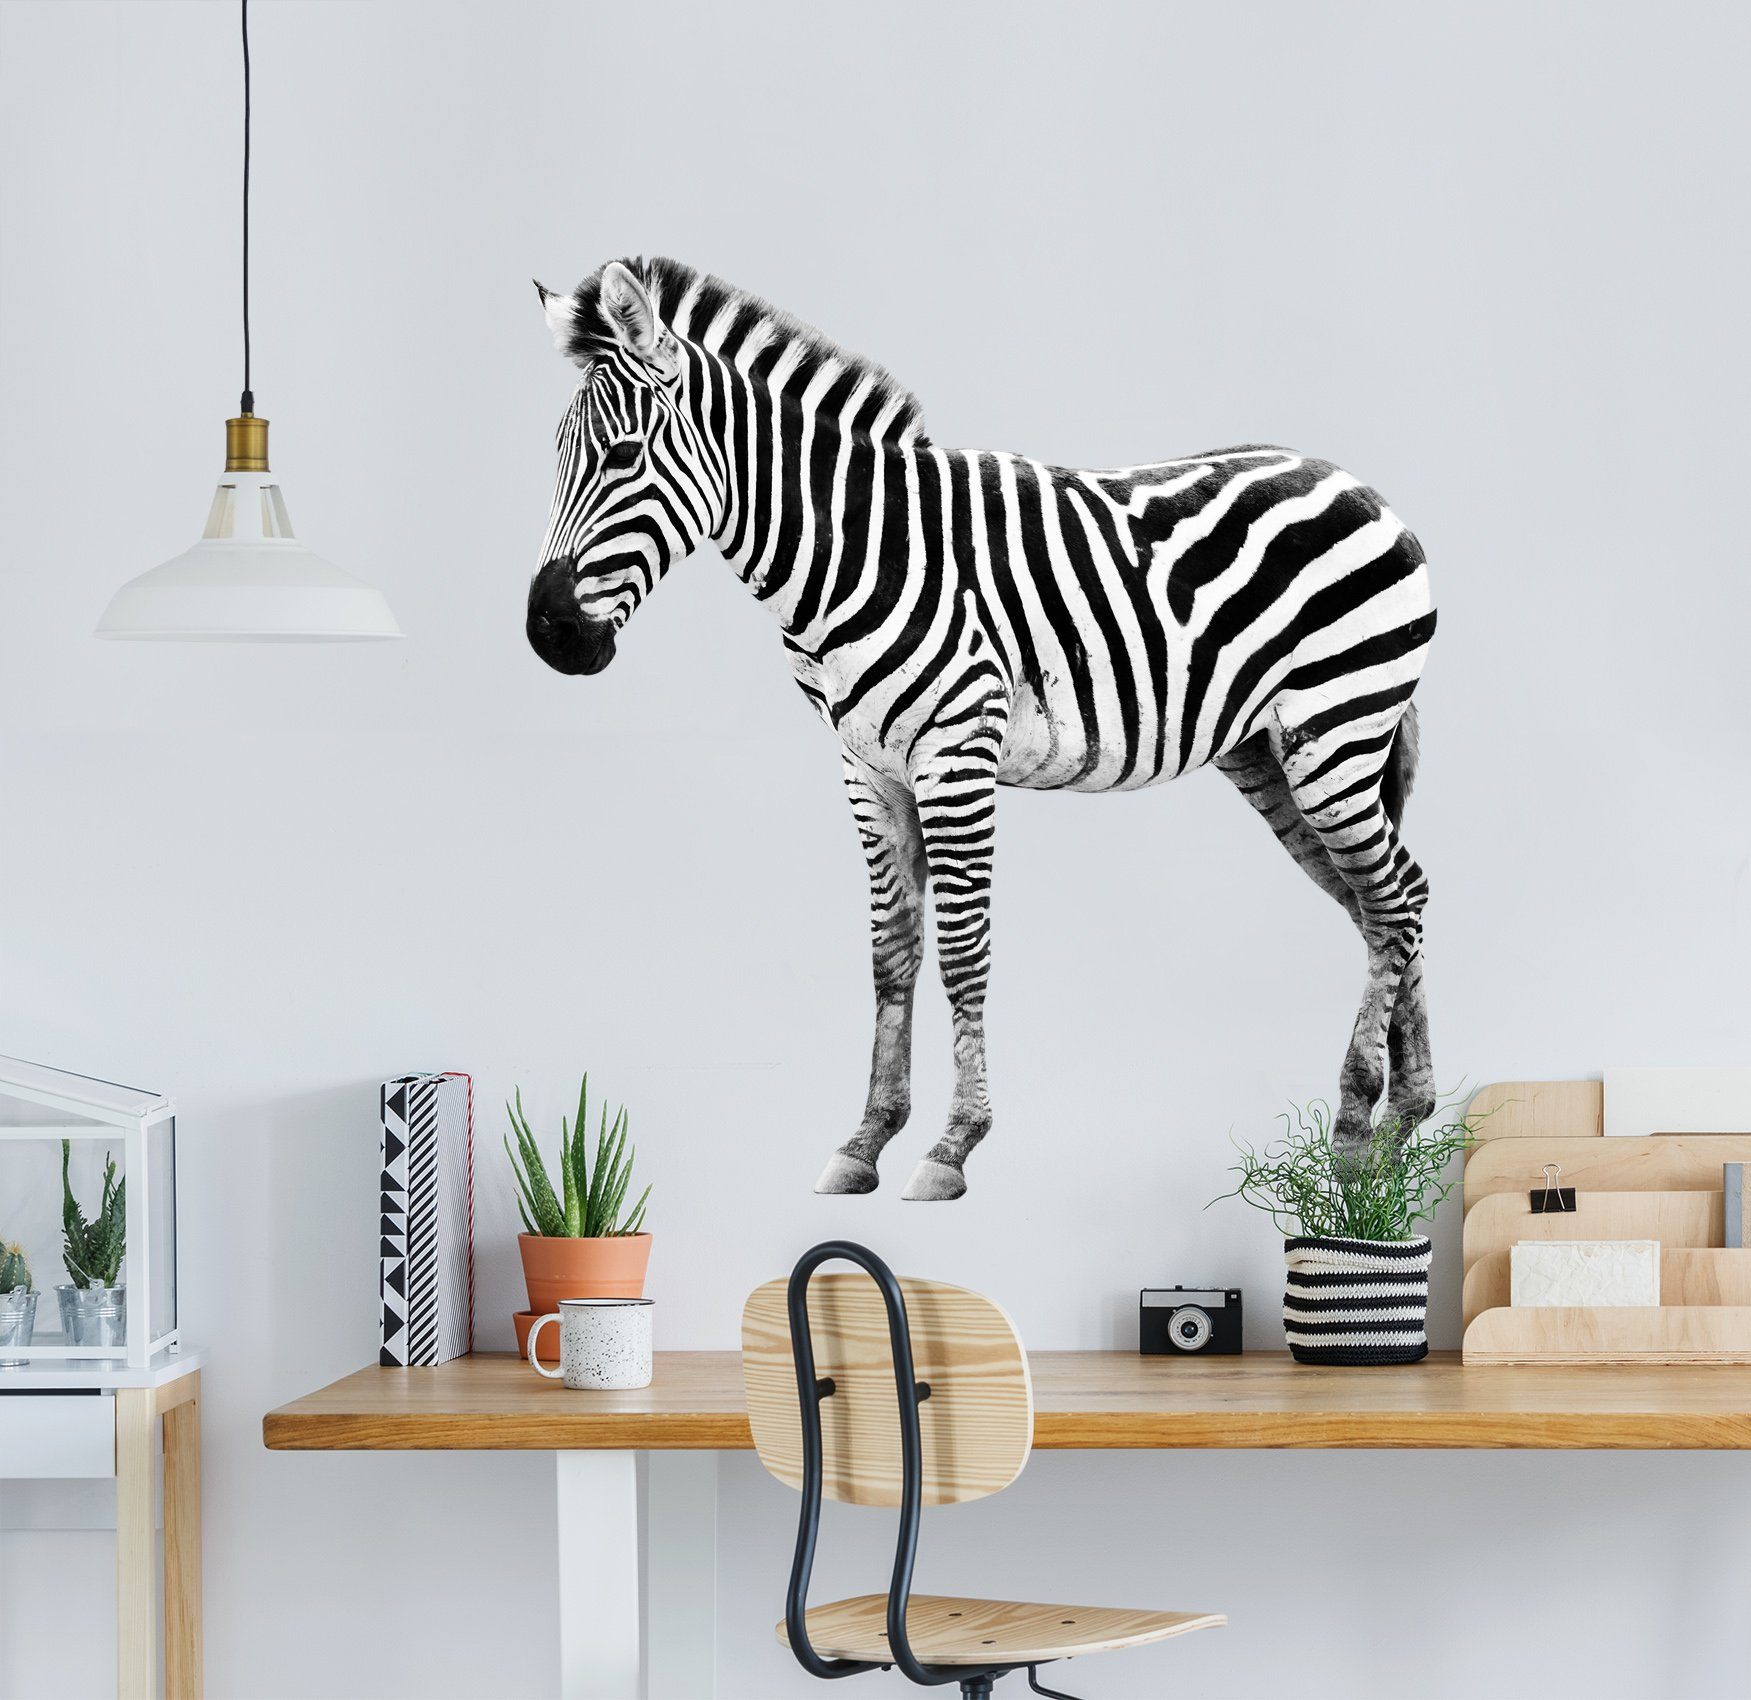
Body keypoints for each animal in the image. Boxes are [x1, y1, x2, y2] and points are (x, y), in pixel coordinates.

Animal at [528, 256, 1435, 1202]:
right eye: (554, 455)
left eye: (623, 456)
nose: (549, 634)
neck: (856, 552)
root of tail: (1355, 482)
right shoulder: (865, 767)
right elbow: (892, 951)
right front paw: (866, 1139)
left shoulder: (955, 753)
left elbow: (964, 951)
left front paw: (952, 1144)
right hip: (1270, 756)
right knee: (1387, 899)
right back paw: (1399, 1123)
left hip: (1335, 730)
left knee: (1392, 900)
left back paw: (1353, 1127)